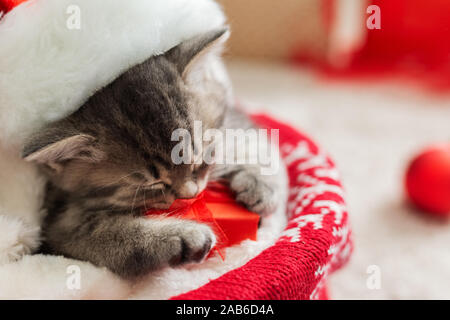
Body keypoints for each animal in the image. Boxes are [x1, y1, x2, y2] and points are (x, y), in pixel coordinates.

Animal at [22, 28, 284, 278]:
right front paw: (180, 238)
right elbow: (109, 235)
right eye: (154, 183)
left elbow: (256, 143)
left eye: (198, 160)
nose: (190, 194)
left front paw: (260, 186)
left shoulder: (234, 116)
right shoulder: (61, 224)